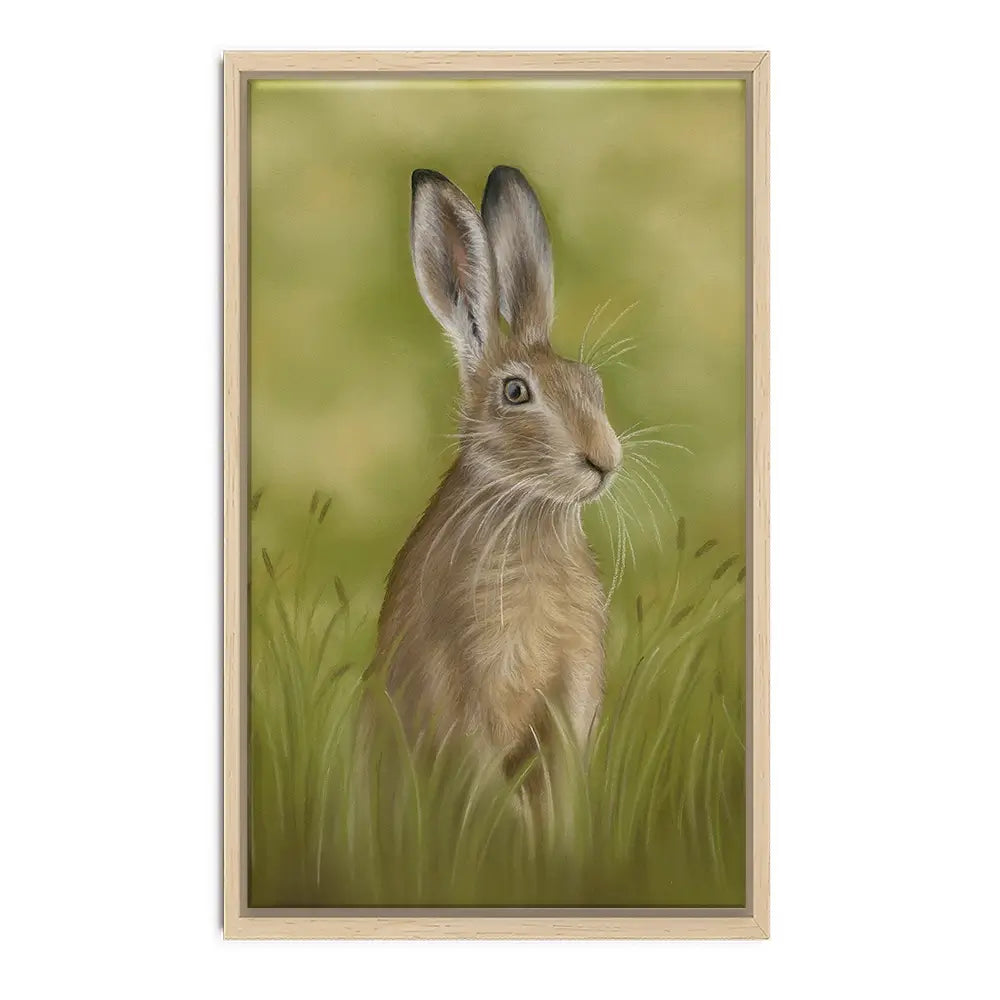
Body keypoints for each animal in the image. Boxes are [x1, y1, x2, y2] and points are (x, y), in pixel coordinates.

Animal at [375, 166, 622, 786]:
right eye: (514, 393)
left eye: (591, 383)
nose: (604, 459)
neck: (529, 510)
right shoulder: (468, 693)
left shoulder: (571, 697)